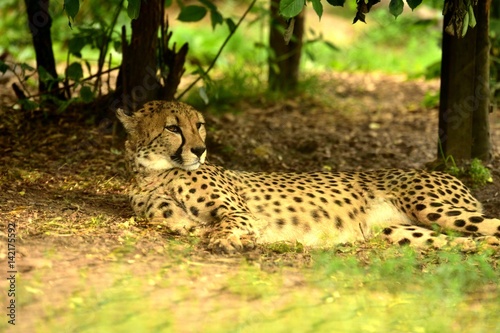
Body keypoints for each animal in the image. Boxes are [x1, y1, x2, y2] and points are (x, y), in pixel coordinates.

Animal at [117, 100, 500, 252]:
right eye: (172, 128)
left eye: (199, 125)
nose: (200, 150)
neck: (155, 173)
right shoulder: (167, 214)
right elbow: (181, 222)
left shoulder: (239, 212)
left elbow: (227, 224)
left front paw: (226, 241)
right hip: (399, 231)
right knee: (465, 241)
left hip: (432, 208)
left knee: (491, 225)